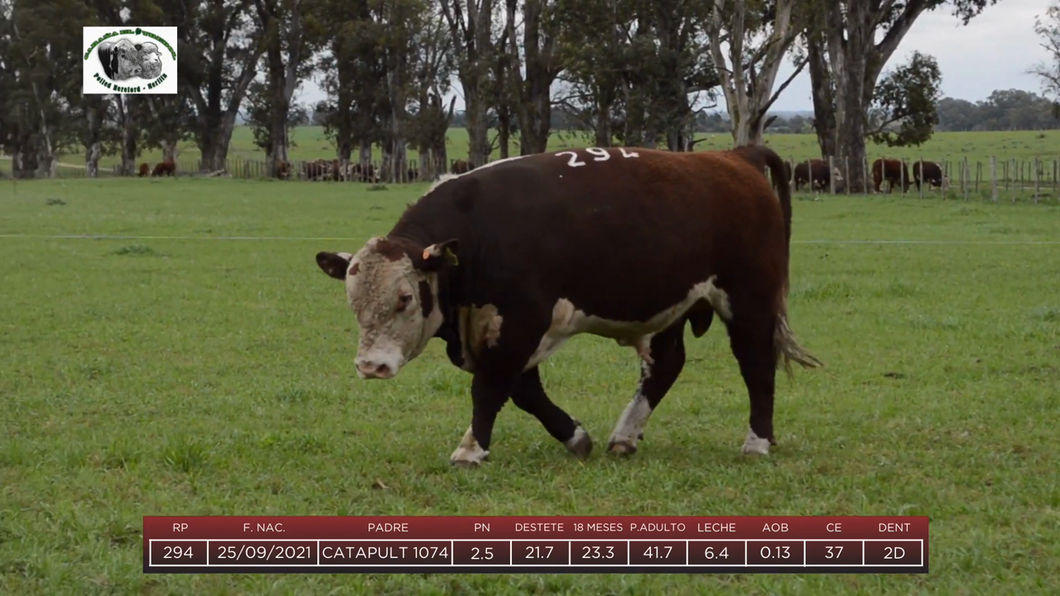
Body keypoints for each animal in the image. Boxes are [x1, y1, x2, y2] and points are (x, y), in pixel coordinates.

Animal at [309, 143, 822, 464]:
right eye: (353, 303)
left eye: (404, 298)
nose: (371, 366)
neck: (478, 232)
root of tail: (733, 157)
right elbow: (523, 392)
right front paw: (576, 438)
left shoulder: (522, 322)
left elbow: (491, 389)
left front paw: (471, 449)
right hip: (671, 304)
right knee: (666, 365)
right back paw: (624, 437)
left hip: (749, 300)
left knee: (756, 365)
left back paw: (757, 442)